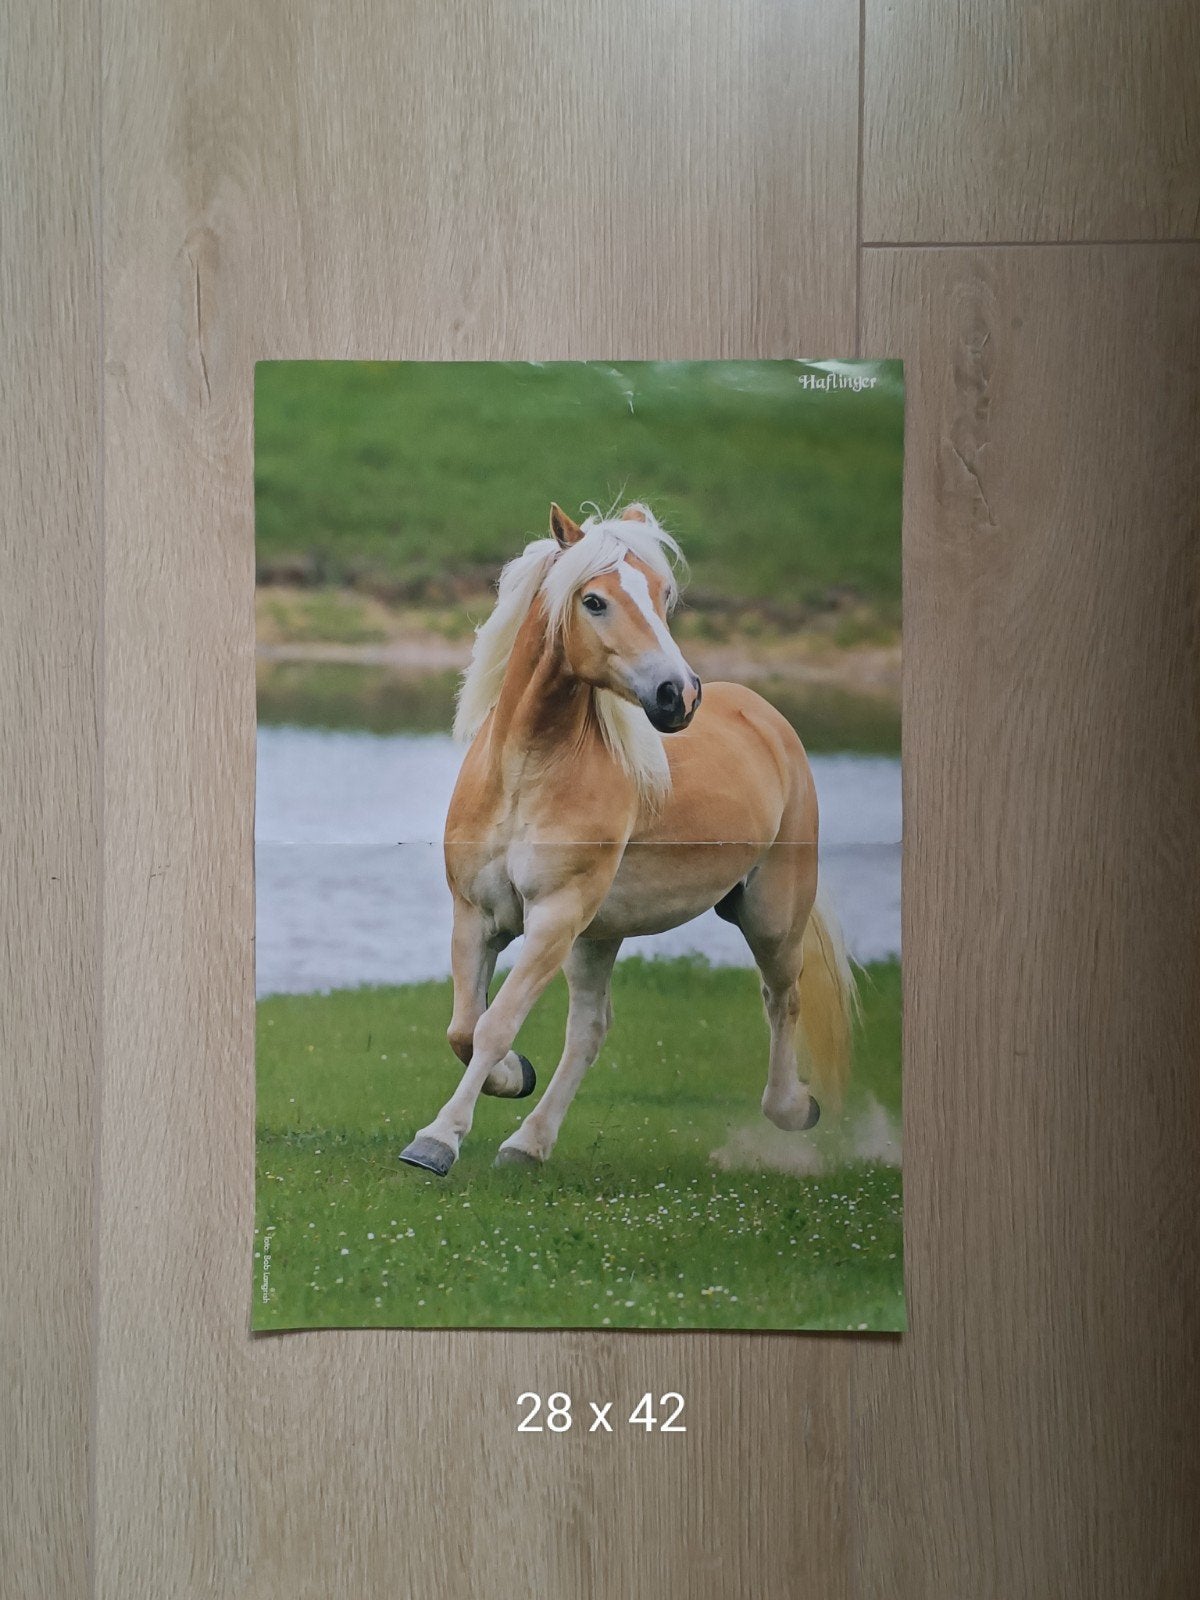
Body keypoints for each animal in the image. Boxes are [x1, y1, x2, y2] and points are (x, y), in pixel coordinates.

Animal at [399, 501, 857, 1175]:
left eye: (663, 594)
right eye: (594, 601)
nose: (679, 695)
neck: (528, 774)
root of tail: (767, 718)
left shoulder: (554, 918)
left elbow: (494, 1024)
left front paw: (437, 1140)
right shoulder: (477, 916)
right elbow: (464, 1028)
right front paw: (511, 1077)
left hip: (770, 915)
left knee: (782, 997)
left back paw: (793, 1109)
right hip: (599, 937)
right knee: (589, 1032)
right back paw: (528, 1145)